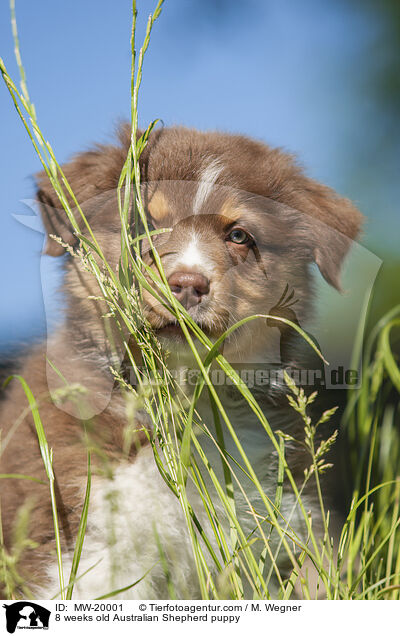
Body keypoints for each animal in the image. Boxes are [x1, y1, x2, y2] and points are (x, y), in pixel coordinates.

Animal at [0, 126, 362, 600]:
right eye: (141, 226)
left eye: (239, 236)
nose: (187, 284)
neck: (187, 402)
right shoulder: (86, 541)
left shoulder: (275, 528)